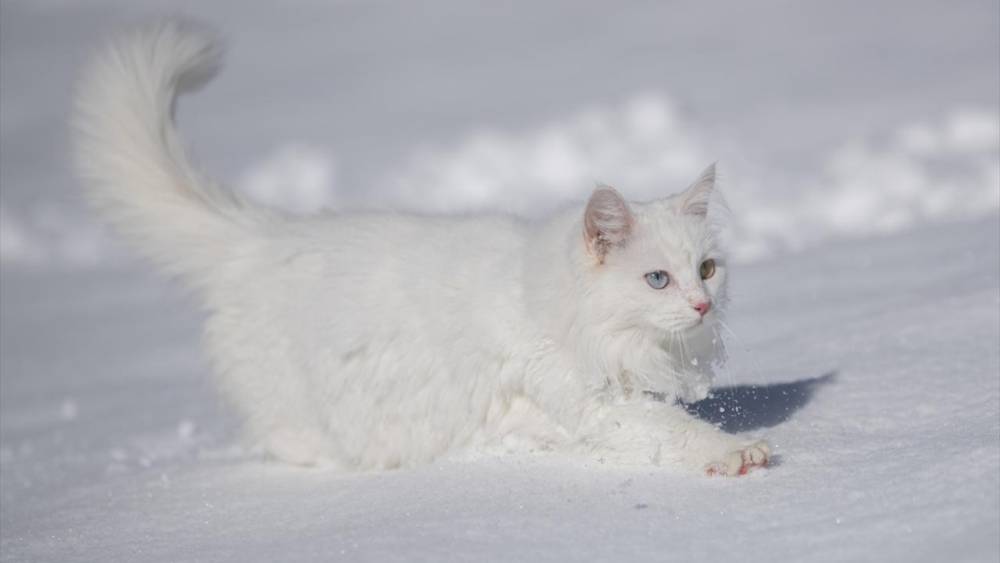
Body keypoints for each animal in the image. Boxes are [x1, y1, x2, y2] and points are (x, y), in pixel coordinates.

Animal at [72, 20, 772, 476]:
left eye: (707, 269)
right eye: (657, 279)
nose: (702, 305)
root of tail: (258, 234)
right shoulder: (596, 405)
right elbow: (675, 432)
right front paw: (733, 453)